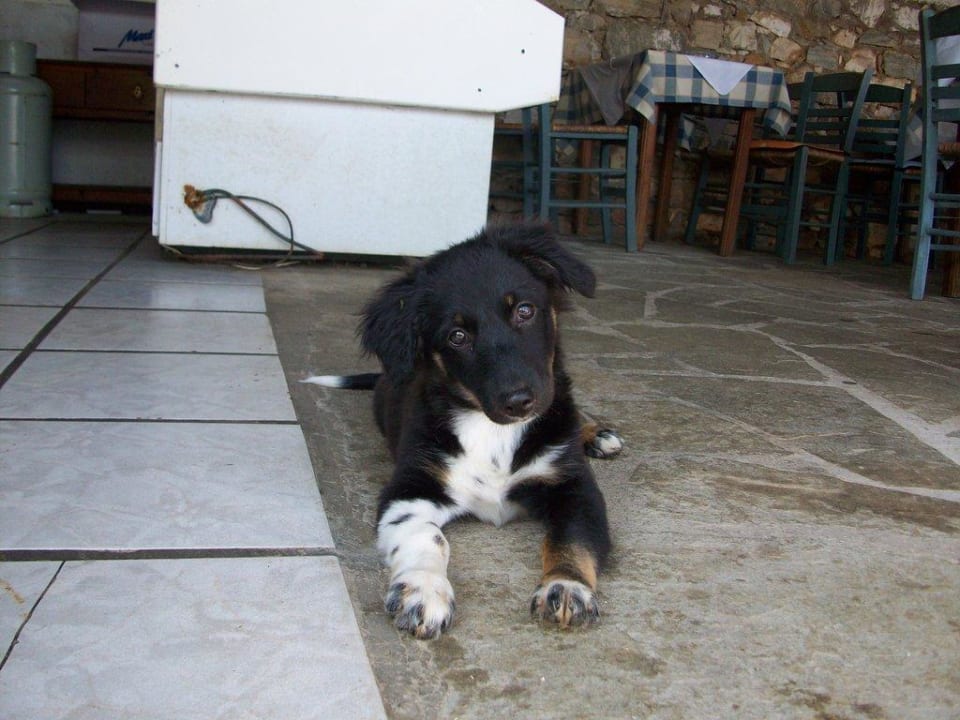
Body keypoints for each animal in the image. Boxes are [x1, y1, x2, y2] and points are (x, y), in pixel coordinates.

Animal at [304, 224, 621, 639]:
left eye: (524, 310)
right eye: (457, 335)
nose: (519, 401)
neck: (492, 430)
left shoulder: (574, 486)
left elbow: (572, 538)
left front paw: (565, 586)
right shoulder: (411, 488)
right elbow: (428, 536)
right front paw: (423, 590)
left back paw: (597, 433)